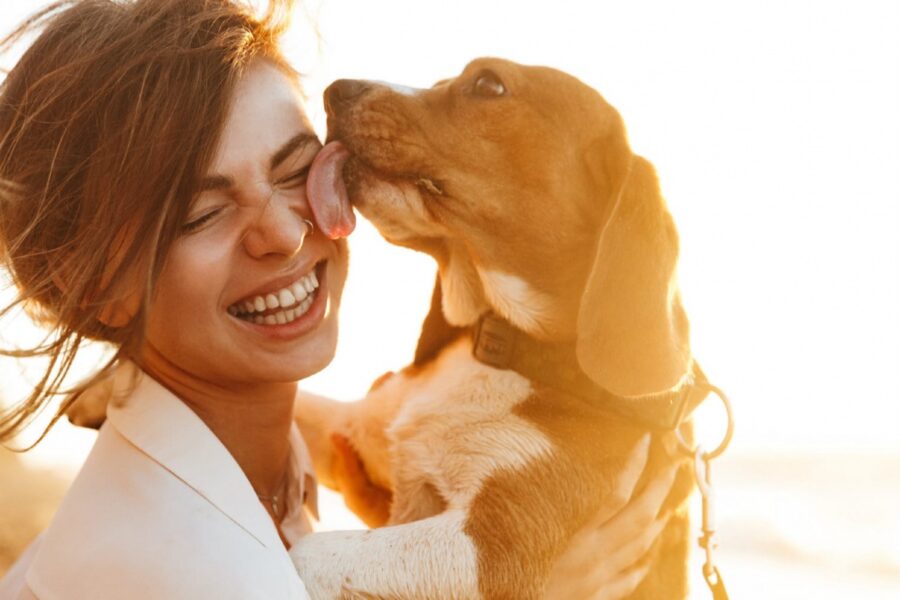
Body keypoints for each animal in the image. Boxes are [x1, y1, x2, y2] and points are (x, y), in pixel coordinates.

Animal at [292, 57, 708, 600]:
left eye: (488, 83)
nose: (333, 91)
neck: (500, 345)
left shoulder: (494, 544)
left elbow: (307, 552)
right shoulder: (357, 430)